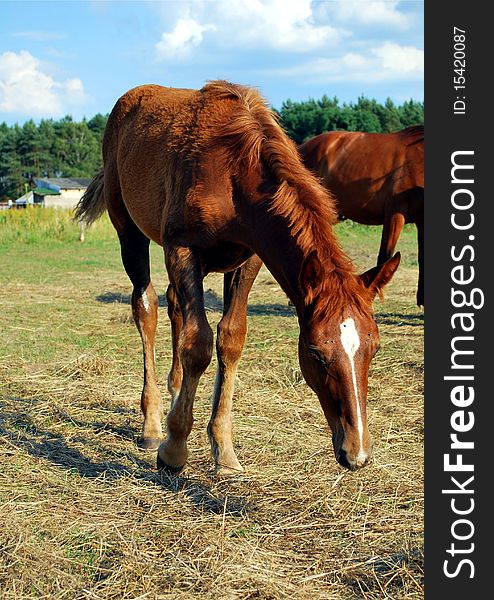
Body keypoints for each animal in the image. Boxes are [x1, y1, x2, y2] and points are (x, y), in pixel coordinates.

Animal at [78, 82, 402, 478]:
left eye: (375, 347)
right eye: (315, 352)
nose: (356, 453)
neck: (233, 174)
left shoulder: (249, 259)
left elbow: (230, 339)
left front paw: (224, 449)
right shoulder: (181, 248)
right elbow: (198, 344)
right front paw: (174, 449)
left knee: (174, 305)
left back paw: (174, 395)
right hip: (129, 231)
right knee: (146, 307)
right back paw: (153, 425)